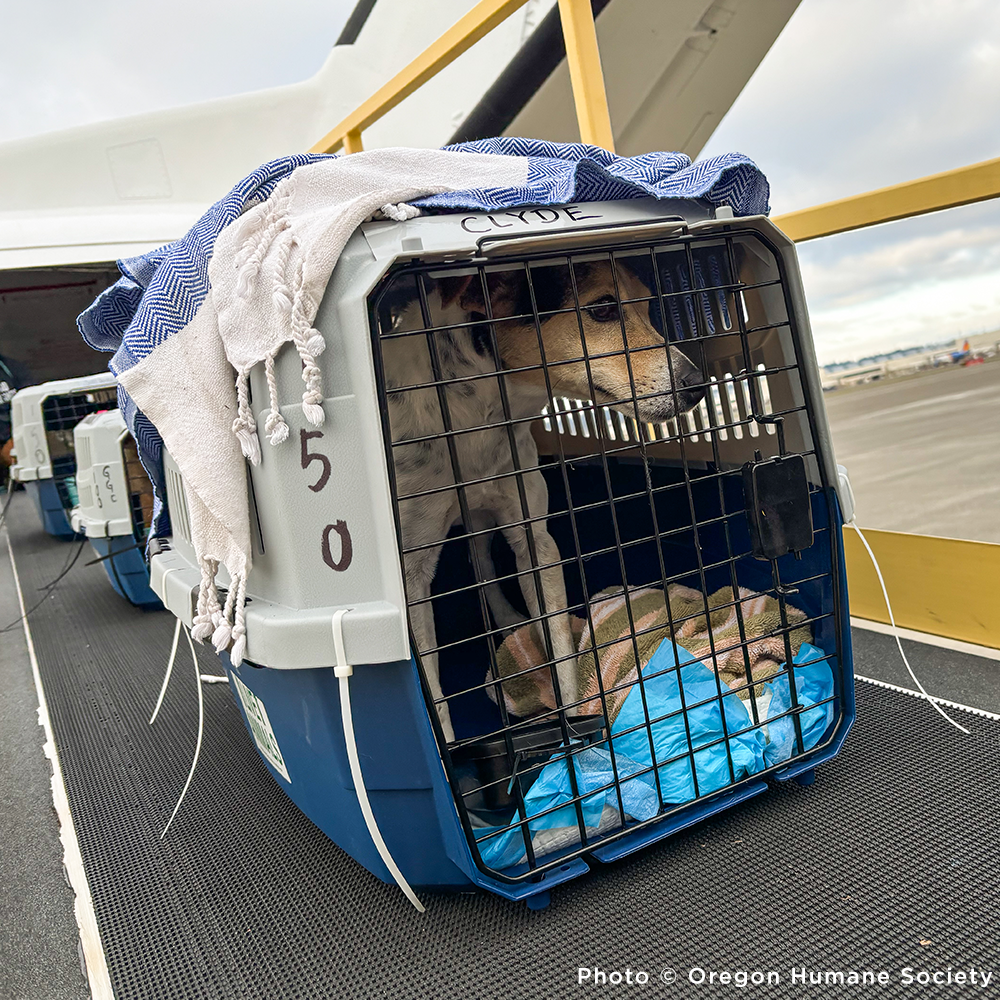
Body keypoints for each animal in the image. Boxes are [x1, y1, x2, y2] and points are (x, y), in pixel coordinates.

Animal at [380, 258, 704, 744]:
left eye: (649, 304)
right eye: (602, 309)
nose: (698, 385)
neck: (480, 415)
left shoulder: (535, 542)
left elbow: (562, 654)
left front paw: (575, 735)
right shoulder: (413, 572)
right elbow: (433, 695)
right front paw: (448, 752)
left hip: (482, 517)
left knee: (482, 562)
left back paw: (510, 620)